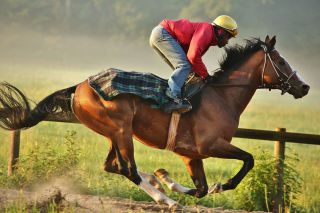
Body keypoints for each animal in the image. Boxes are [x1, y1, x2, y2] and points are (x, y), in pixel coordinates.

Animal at [0, 35, 310, 209]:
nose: (304, 87)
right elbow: (248, 160)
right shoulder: (210, 145)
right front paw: (218, 186)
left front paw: (166, 178)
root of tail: (79, 86)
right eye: (281, 61)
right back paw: (166, 201)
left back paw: (157, 184)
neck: (222, 96)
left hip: (114, 133)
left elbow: (200, 189)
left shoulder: (190, 154)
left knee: (112, 166)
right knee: (128, 168)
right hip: (120, 130)